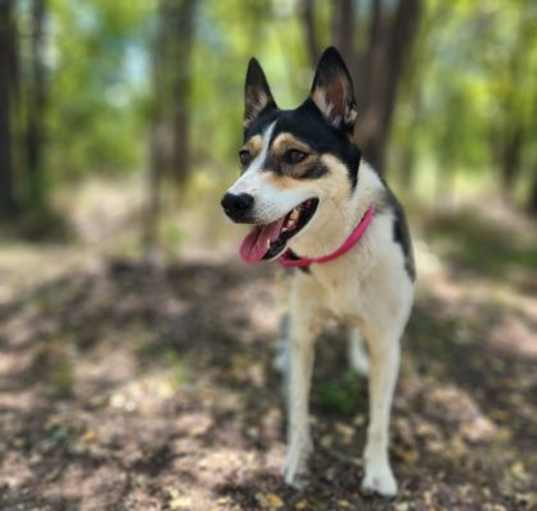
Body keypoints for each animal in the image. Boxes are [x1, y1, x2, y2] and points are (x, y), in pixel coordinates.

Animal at [220, 47, 412, 496]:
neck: (335, 248)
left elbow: (379, 419)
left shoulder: (387, 342)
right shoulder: (305, 333)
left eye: (294, 156)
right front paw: (296, 460)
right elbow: (297, 408)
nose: (231, 202)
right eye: (244, 156)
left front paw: (378, 472)